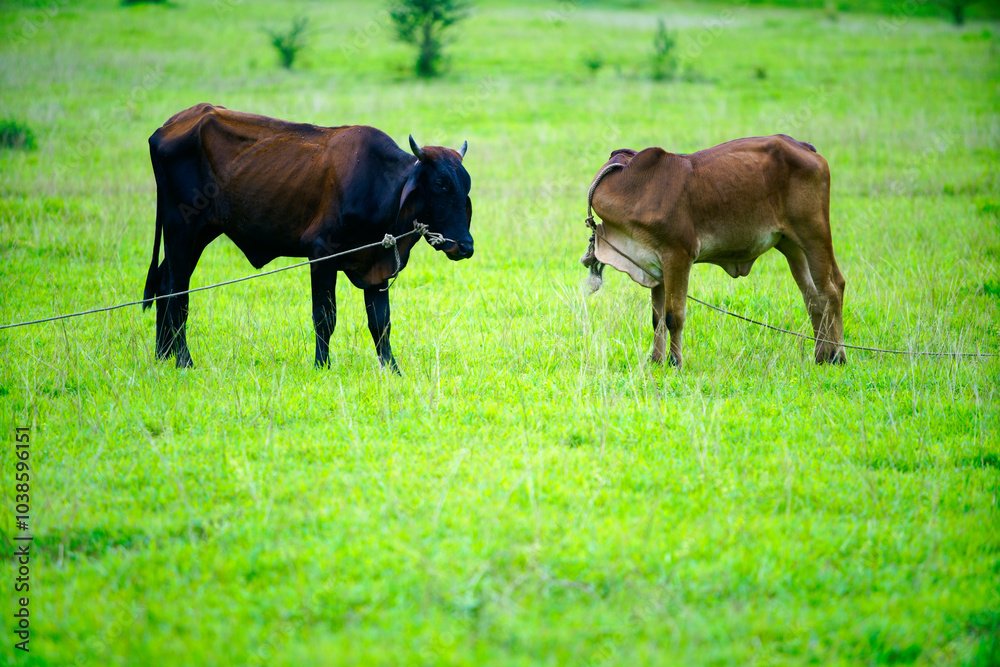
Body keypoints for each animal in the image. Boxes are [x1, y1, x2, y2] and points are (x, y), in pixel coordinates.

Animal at [143, 103, 474, 372]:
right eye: (440, 183)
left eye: (466, 185)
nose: (466, 246)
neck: (379, 185)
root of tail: (166, 128)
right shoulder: (321, 253)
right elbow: (325, 316)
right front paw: (321, 365)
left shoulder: (378, 263)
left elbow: (381, 322)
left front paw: (393, 370)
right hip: (182, 230)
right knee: (177, 292)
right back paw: (184, 360)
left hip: (199, 234)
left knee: (164, 283)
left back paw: (163, 356)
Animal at [580, 135, 846, 368]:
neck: (632, 188)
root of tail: (803, 146)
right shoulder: (654, 265)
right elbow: (657, 319)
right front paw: (655, 361)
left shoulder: (678, 255)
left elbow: (673, 316)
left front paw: (674, 363)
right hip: (790, 244)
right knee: (812, 297)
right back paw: (821, 355)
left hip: (814, 233)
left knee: (832, 289)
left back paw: (837, 356)